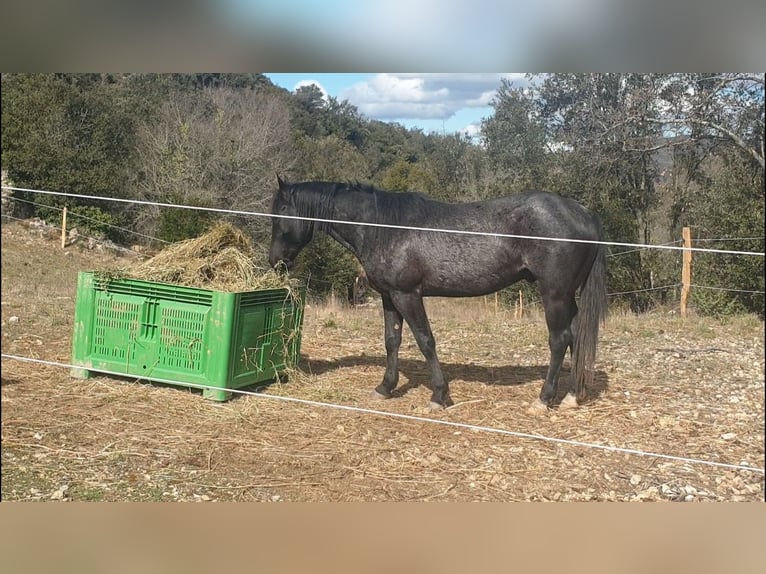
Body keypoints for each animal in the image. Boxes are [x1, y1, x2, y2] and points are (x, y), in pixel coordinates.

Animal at [268, 178, 608, 412]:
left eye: (278, 215)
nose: (275, 261)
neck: (382, 227)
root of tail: (583, 213)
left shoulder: (408, 295)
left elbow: (425, 341)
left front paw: (439, 395)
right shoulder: (389, 297)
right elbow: (392, 341)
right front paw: (385, 387)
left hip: (554, 295)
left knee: (559, 340)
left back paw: (543, 399)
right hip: (566, 296)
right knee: (576, 337)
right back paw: (572, 396)